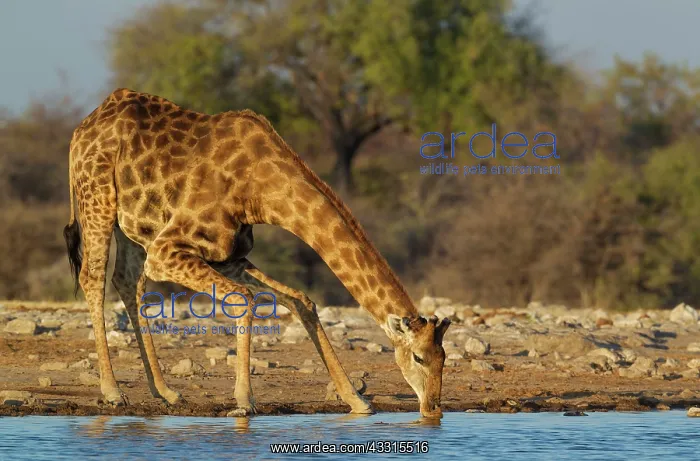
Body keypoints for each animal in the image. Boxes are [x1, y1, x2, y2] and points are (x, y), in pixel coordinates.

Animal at [64, 88, 451, 418]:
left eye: (444, 358)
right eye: (418, 357)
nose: (433, 408)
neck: (261, 191)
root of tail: (81, 128)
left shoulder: (228, 255)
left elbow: (300, 300)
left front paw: (356, 400)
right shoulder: (166, 250)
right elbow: (245, 298)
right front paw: (244, 402)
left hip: (132, 224)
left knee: (127, 281)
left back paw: (166, 392)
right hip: (97, 200)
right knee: (93, 277)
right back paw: (113, 392)